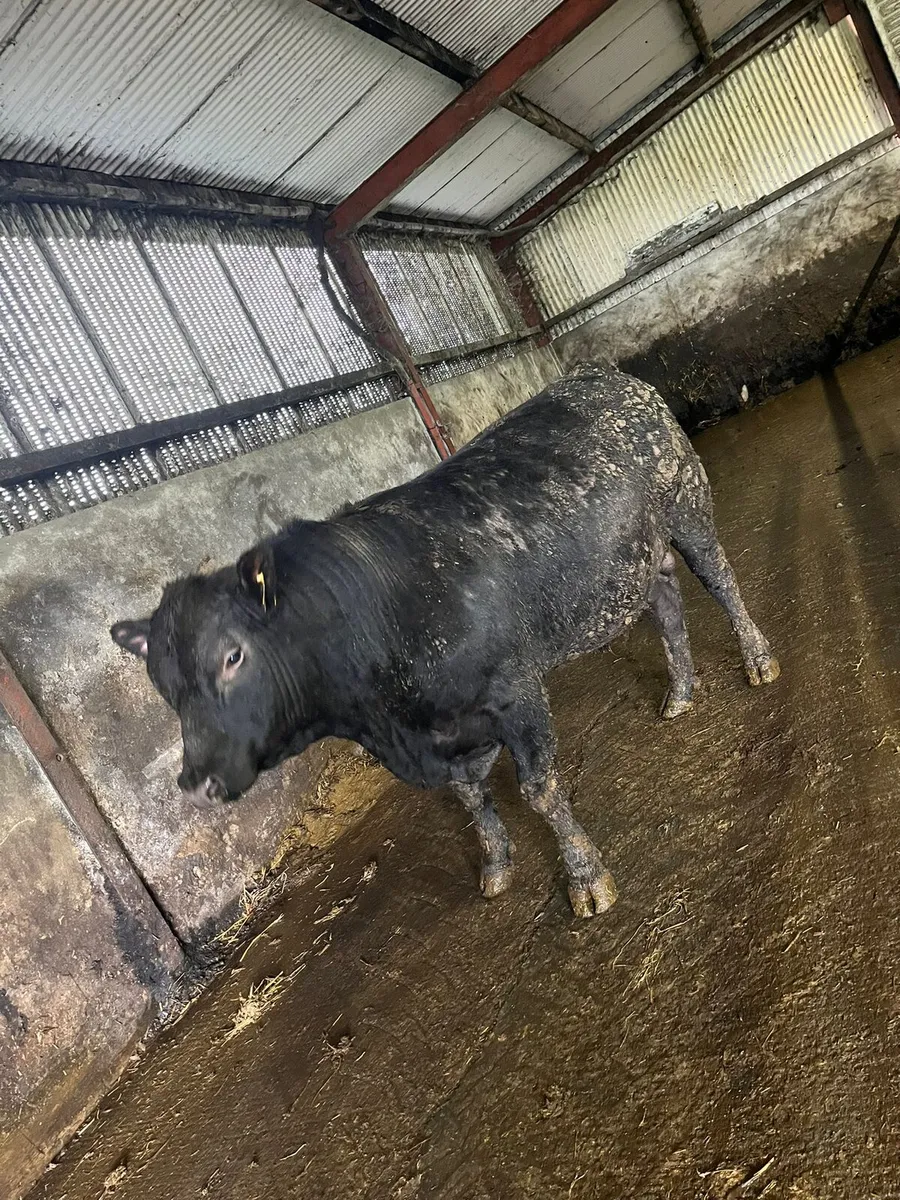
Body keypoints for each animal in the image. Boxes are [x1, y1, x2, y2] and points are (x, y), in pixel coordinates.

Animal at [111, 364, 779, 918]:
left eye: (232, 656)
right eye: (163, 688)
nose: (195, 782)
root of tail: (605, 376)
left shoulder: (513, 691)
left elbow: (539, 791)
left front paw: (585, 878)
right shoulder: (443, 739)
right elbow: (469, 800)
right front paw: (496, 865)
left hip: (688, 506)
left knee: (720, 579)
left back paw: (757, 659)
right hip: (633, 557)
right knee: (665, 600)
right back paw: (681, 691)